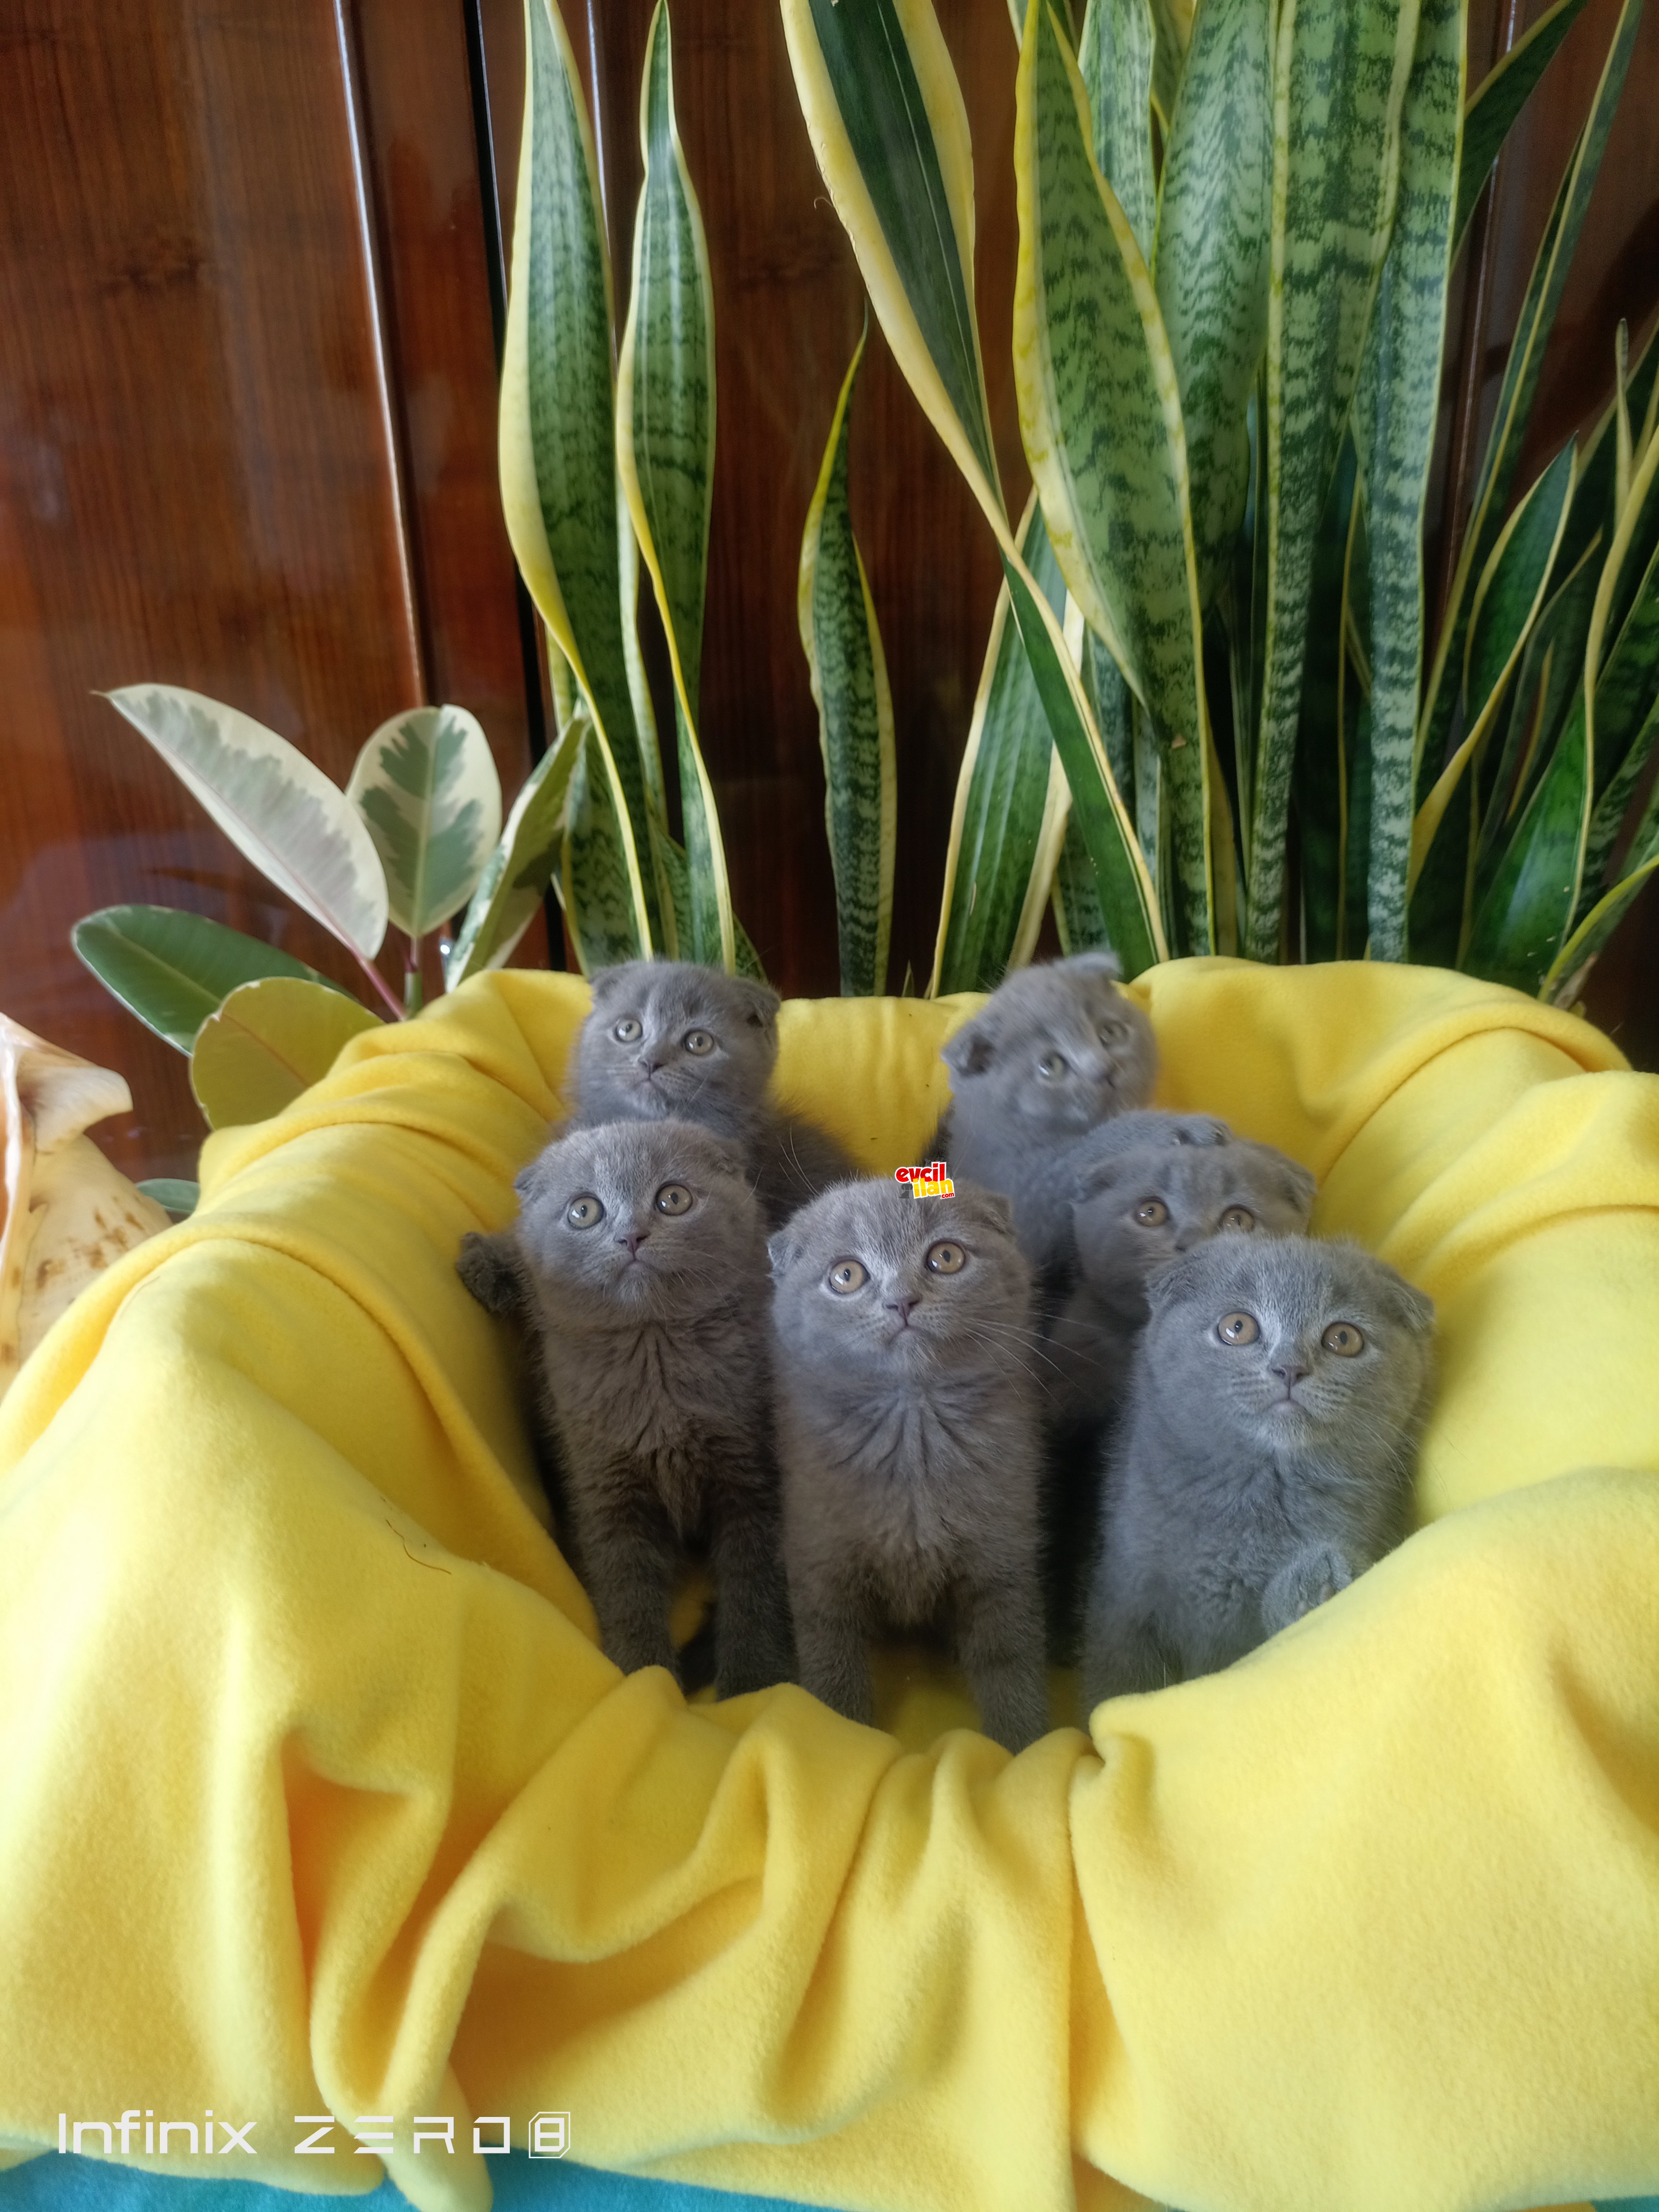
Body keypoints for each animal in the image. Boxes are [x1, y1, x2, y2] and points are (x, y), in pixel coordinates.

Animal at [462, 1115, 801, 1698]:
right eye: (584, 1210)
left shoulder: (753, 1481)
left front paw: (752, 1683)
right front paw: (642, 1673)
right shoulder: (604, 1488)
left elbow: (754, 1587)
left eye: (673, 1199)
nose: (632, 1237)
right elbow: (626, 1589)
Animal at [769, 1185, 1053, 1752]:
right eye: (846, 1275)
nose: (902, 1301)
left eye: (946, 1257)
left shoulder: (1003, 1563)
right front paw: (843, 1731)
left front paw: (1022, 1747)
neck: (913, 1431)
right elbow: (831, 1660)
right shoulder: (820, 1563)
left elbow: (1010, 1657)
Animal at [1083, 1230, 1433, 1707]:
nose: (1290, 1368)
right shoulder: (1123, 1601)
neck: (1262, 1489)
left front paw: (1316, 1588)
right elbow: (1119, 1682)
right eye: (1237, 1327)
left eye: (1344, 1338)